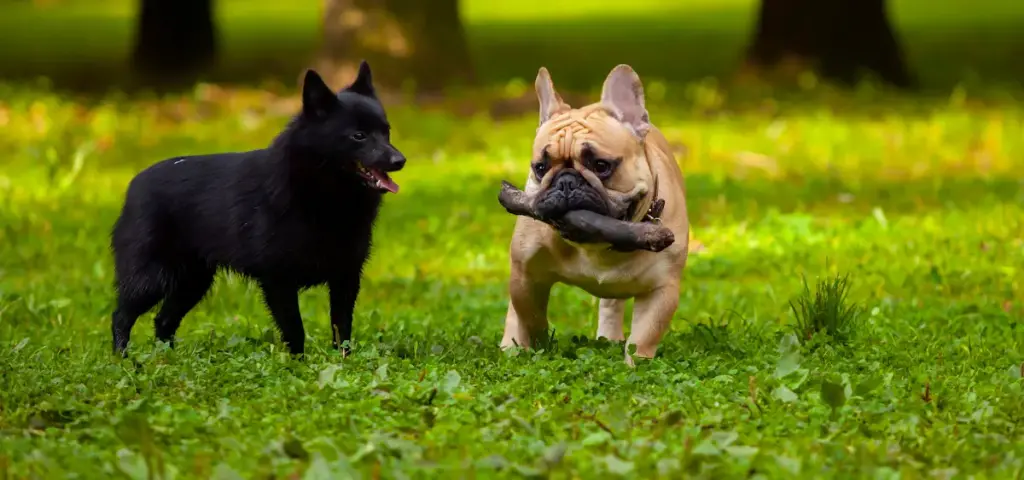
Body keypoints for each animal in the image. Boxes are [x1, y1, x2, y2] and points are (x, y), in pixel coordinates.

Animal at [109, 61, 403, 354]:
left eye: (386, 131)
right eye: (359, 136)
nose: (400, 160)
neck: (321, 194)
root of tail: (134, 185)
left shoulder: (346, 277)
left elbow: (341, 328)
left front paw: (343, 360)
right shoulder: (278, 281)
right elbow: (295, 330)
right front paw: (298, 364)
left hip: (193, 281)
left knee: (163, 320)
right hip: (152, 279)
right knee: (121, 316)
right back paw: (123, 359)